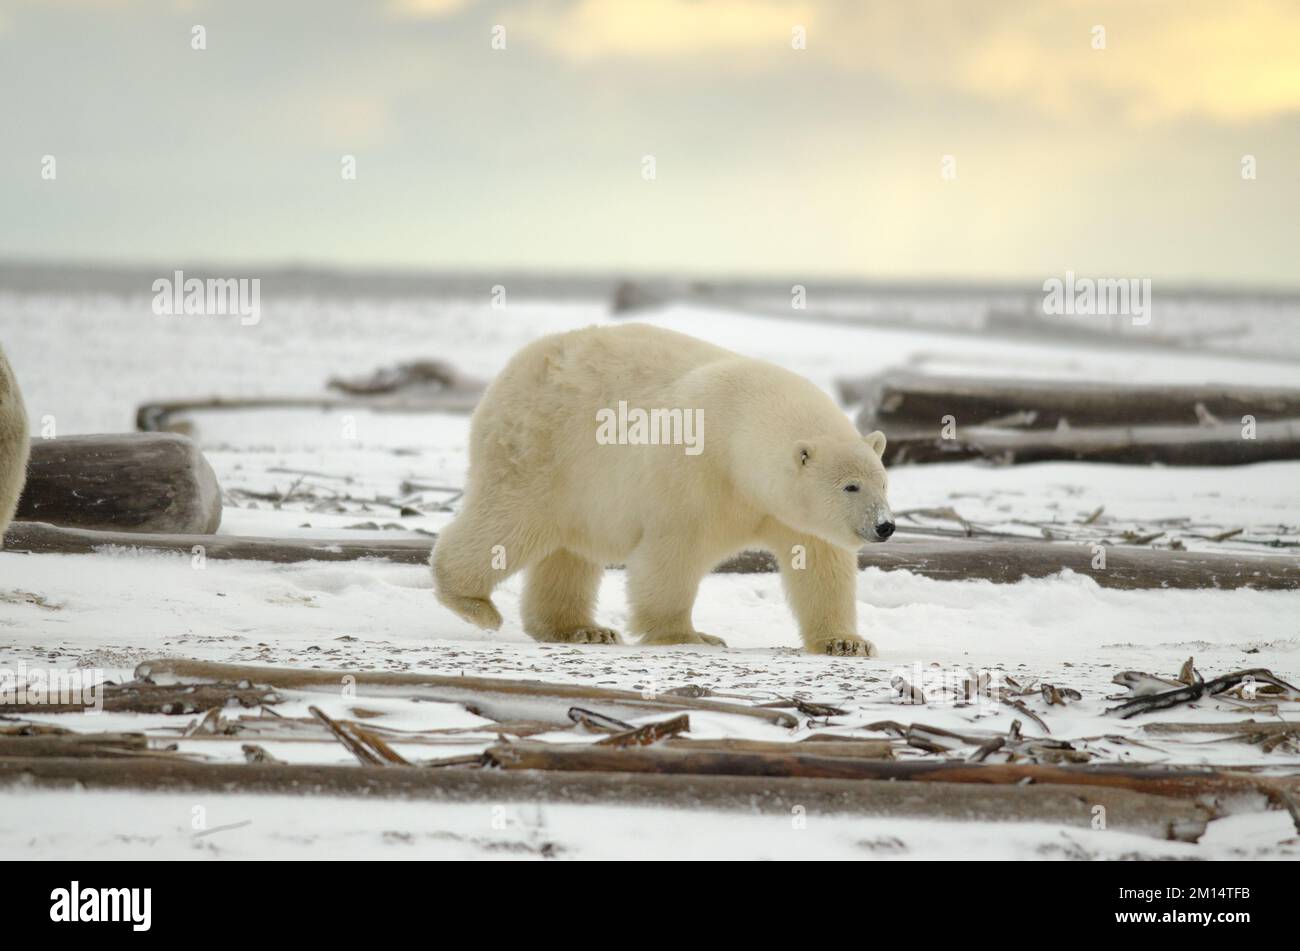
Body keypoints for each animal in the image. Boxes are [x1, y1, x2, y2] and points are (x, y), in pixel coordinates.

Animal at [431, 323, 894, 655]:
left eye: (883, 482)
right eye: (851, 486)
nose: (884, 526)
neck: (742, 426)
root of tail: (515, 367)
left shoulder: (786, 509)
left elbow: (820, 564)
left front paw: (846, 642)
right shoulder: (695, 471)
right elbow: (673, 553)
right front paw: (690, 635)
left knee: (568, 553)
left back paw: (583, 629)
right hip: (541, 450)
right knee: (509, 524)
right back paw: (474, 603)